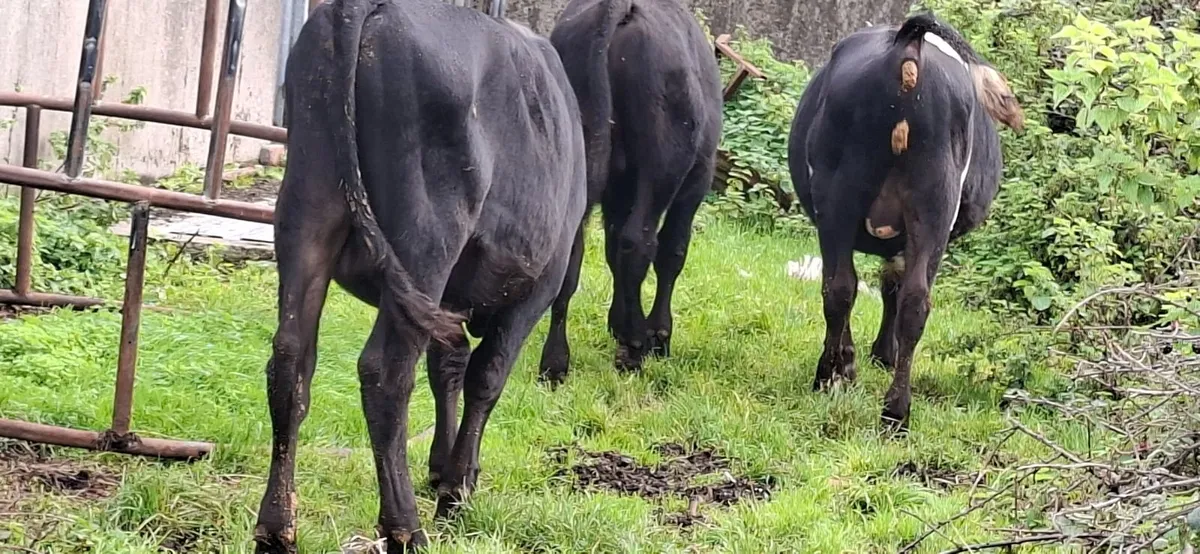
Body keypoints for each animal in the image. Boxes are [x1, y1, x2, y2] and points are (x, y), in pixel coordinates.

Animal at [252, 0, 587, 551]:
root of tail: (362, 9)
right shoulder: (536, 287)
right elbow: (486, 377)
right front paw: (456, 489)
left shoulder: (448, 303)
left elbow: (447, 367)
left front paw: (443, 469)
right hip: (426, 238)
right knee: (386, 372)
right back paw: (405, 527)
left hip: (303, 218)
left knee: (291, 363)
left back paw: (277, 528)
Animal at [537, 0, 723, 382]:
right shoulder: (695, 183)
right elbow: (672, 253)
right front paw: (658, 335)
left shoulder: (618, 191)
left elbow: (611, 250)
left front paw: (618, 323)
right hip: (662, 167)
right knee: (641, 242)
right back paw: (634, 349)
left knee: (574, 253)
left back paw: (555, 362)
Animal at [787, 12, 1024, 431]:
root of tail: (907, 43)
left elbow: (886, 285)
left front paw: (866, 359)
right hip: (928, 206)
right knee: (903, 298)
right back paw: (890, 406)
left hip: (842, 199)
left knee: (844, 288)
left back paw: (838, 381)